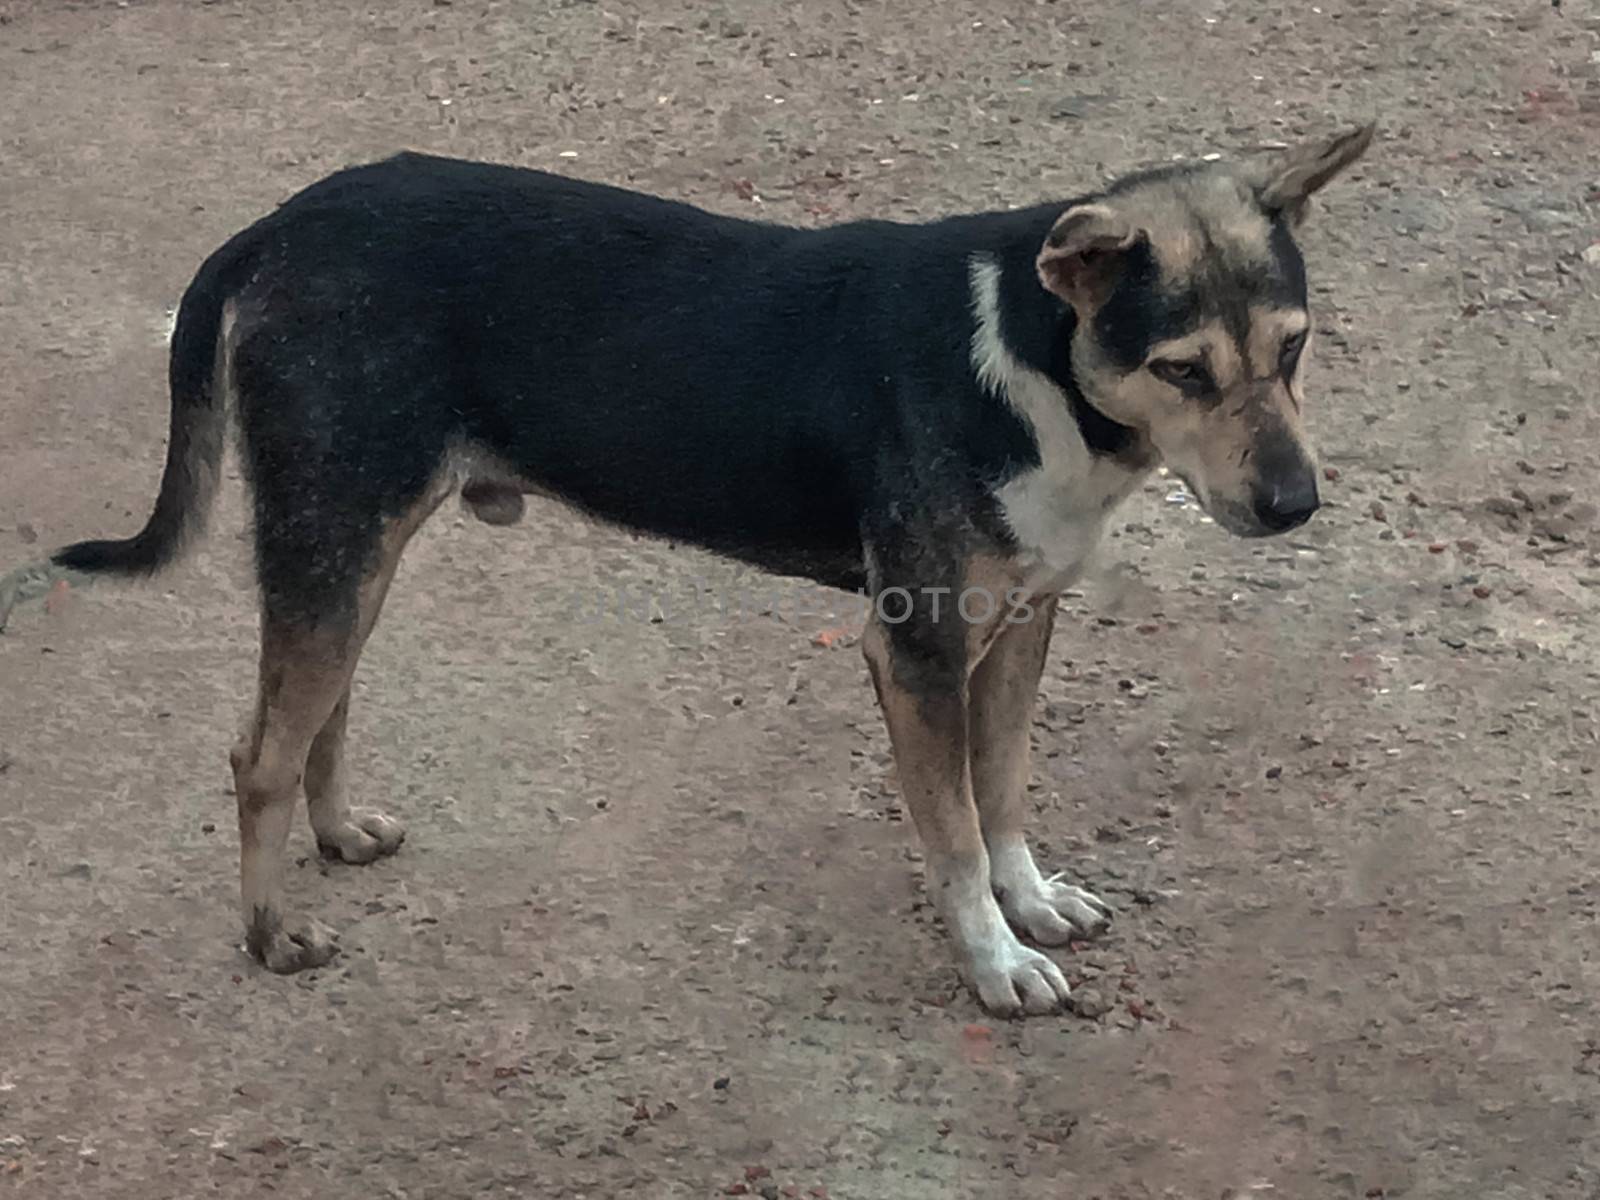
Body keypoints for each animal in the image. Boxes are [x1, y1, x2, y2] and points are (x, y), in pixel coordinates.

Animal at [6, 127, 1369, 1017]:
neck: (1027, 360)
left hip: (356, 544)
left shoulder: (1020, 626)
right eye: (1183, 369)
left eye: (1295, 349)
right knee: (259, 753)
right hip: (332, 534)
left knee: (318, 718)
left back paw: (338, 835)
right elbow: (953, 834)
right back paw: (272, 933)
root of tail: (280, 223)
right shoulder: (917, 649)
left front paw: (1032, 903)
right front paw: (994, 963)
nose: (1295, 506)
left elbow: (1006, 796)